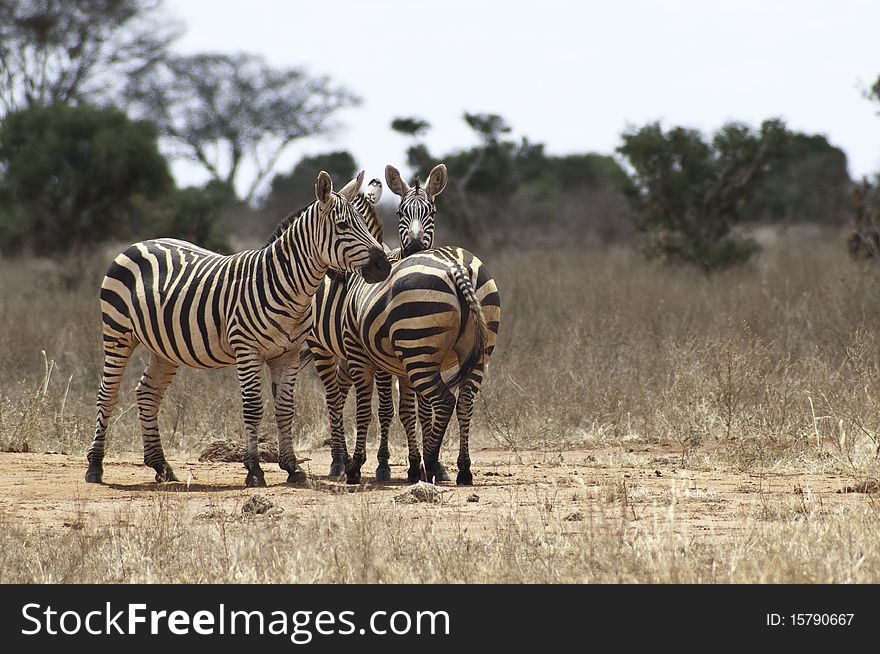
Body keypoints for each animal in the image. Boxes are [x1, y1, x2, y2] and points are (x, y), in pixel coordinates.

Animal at [86, 169, 388, 486]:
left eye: (364, 224)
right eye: (343, 226)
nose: (384, 265)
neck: (285, 283)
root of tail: (139, 243)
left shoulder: (289, 353)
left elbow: (285, 409)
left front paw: (292, 468)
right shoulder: (248, 350)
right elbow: (254, 408)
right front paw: (254, 470)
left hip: (164, 348)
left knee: (147, 394)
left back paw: (161, 466)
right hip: (117, 333)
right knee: (107, 394)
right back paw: (95, 466)